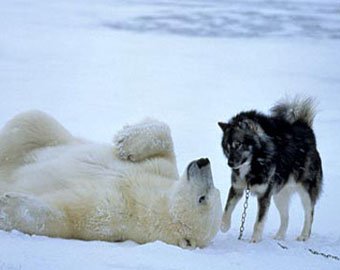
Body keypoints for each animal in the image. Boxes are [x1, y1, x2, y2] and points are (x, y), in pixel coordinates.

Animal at [0, 110, 222, 248]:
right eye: (216, 190)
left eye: (202, 198)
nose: (203, 162)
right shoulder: (160, 170)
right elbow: (164, 139)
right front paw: (126, 141)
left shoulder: (115, 213)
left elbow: (66, 215)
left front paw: (6, 205)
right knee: (32, 121)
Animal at [219, 98, 322, 243]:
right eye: (227, 147)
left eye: (237, 144)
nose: (230, 164)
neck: (255, 163)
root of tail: (306, 129)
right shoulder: (237, 188)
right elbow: (227, 208)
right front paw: (223, 226)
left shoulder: (264, 195)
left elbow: (259, 221)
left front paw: (255, 240)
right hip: (279, 195)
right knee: (286, 217)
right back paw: (279, 236)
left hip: (305, 192)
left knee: (309, 214)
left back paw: (304, 235)